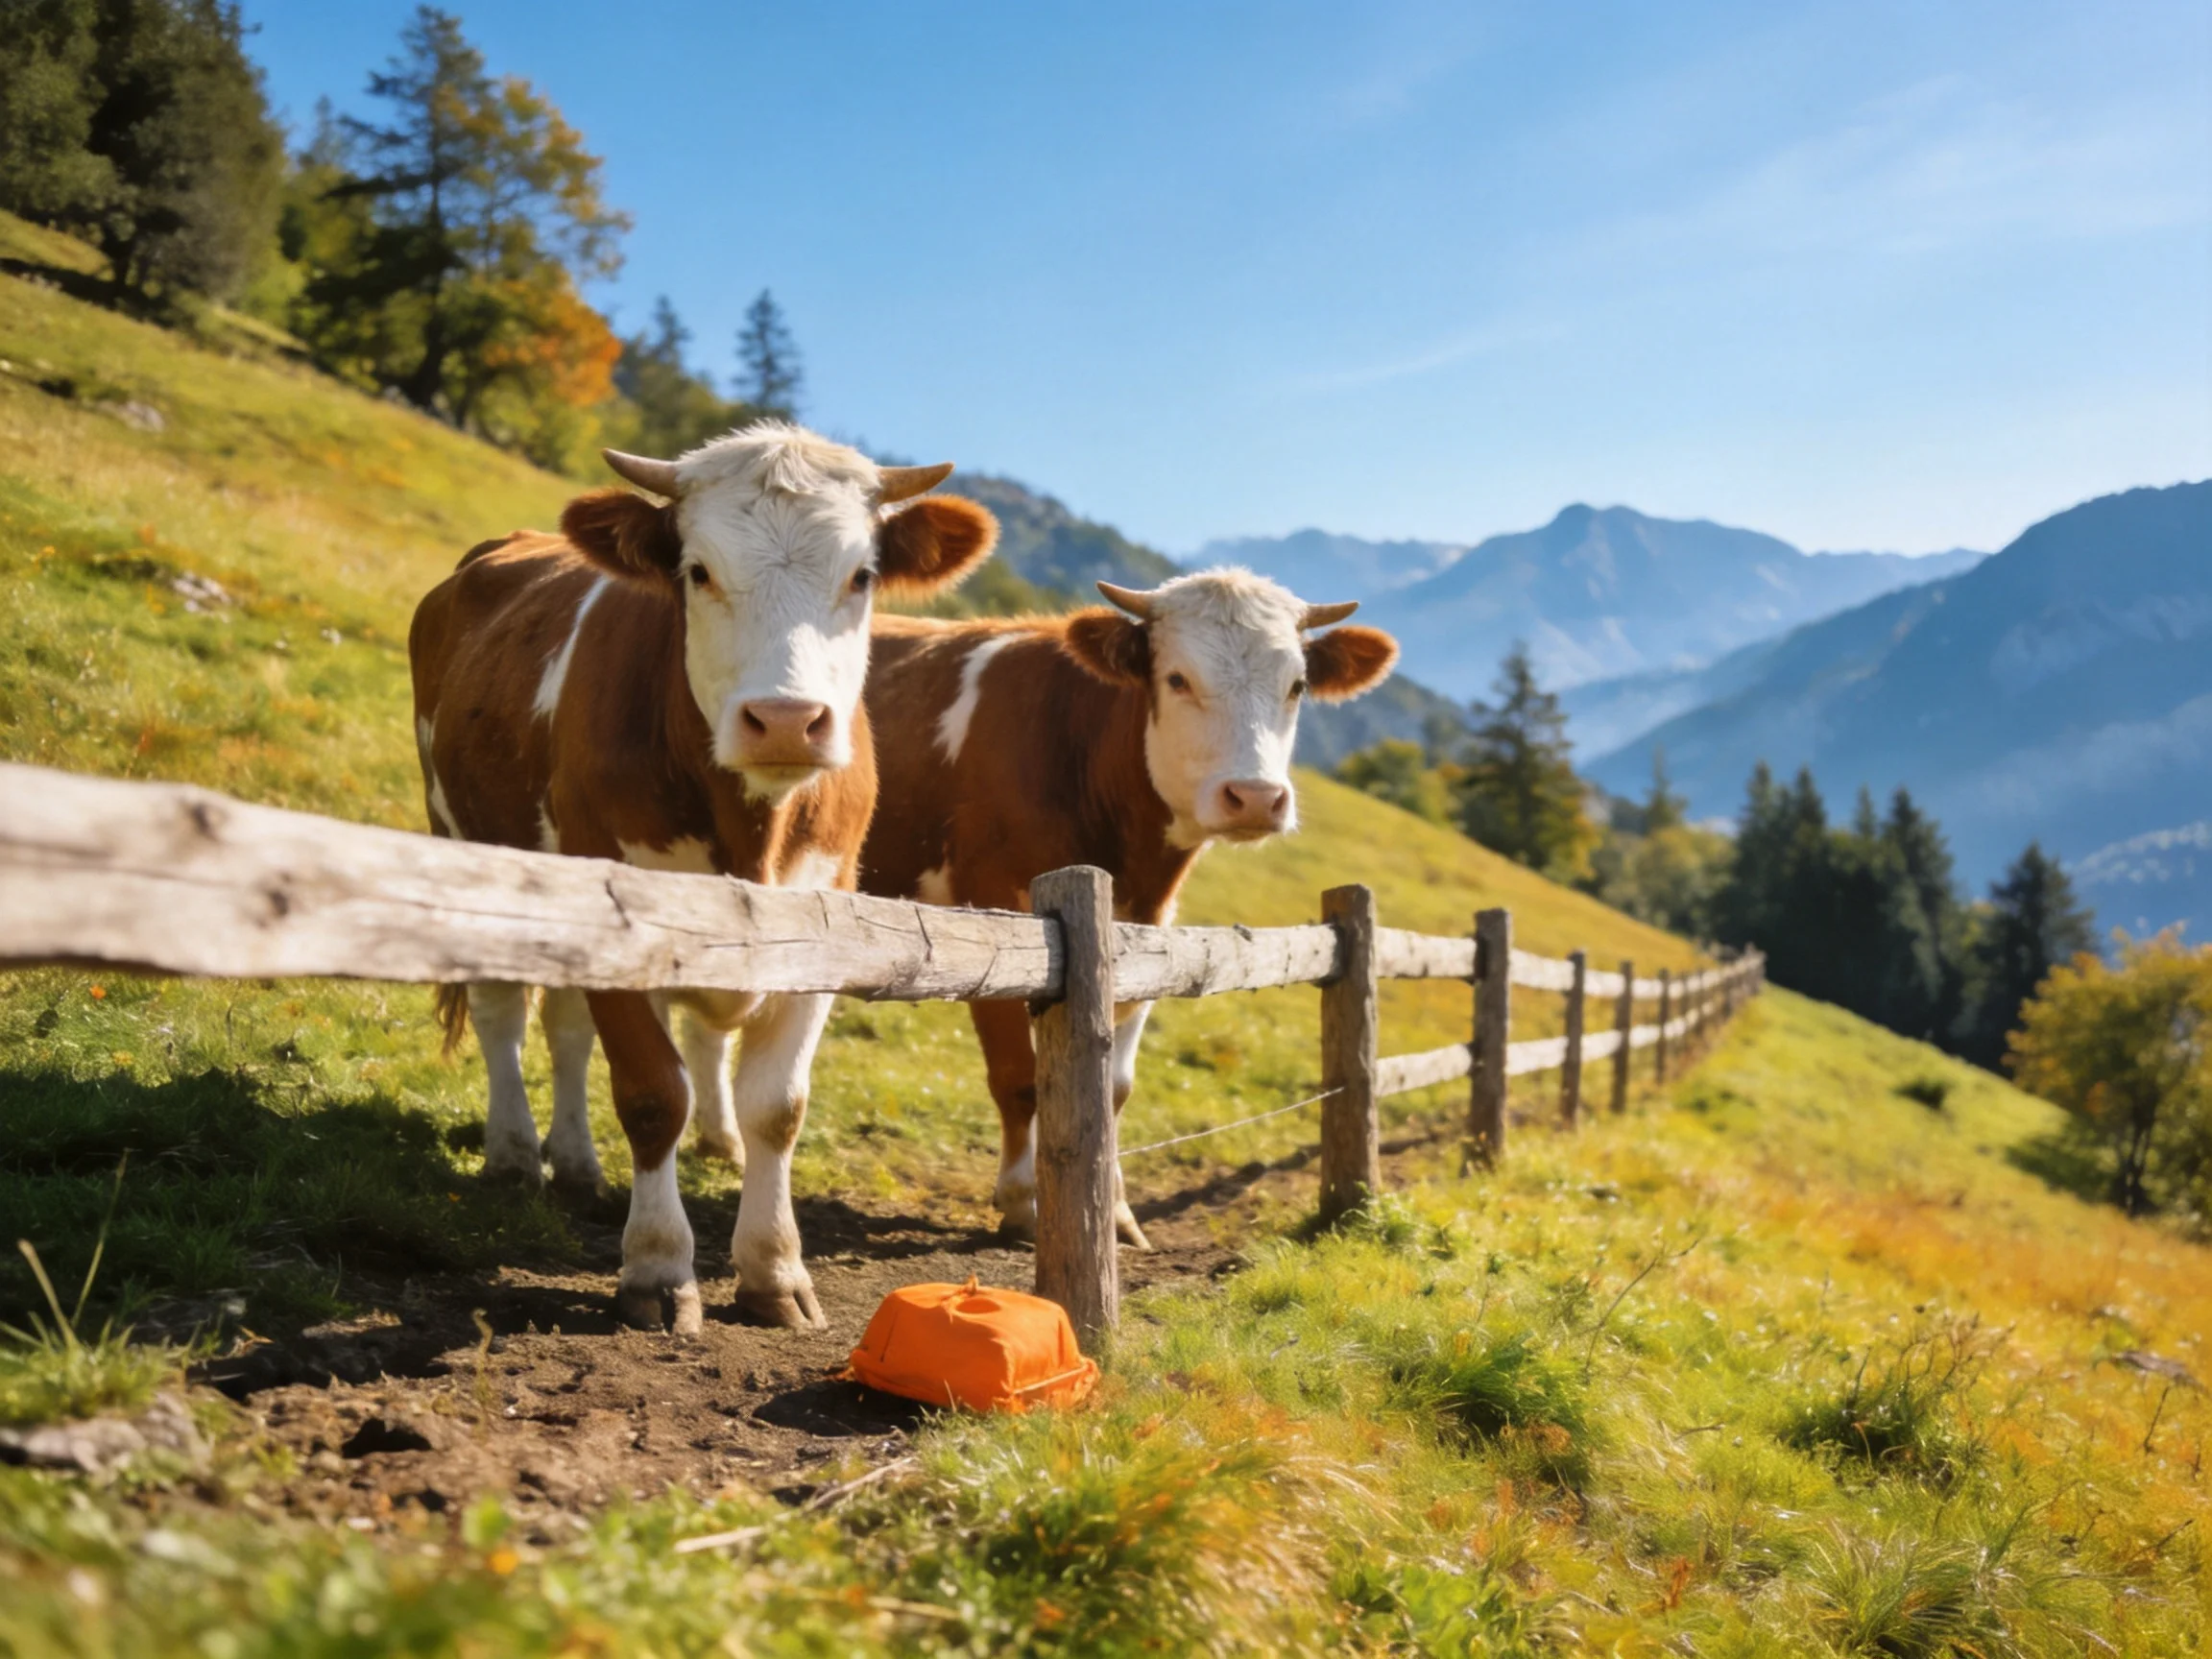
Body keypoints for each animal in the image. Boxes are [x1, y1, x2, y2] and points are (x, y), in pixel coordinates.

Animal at [409, 424, 996, 1333]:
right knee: (504, 1011)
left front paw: (774, 1271)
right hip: (468, 841)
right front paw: (656, 1268)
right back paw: (514, 1156)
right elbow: (654, 1094)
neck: (753, 828)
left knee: (568, 1027)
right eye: (698, 571)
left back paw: (575, 1163)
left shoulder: (825, 929)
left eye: (861, 575)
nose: (786, 720)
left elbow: (776, 1109)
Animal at [857, 572, 1398, 1243]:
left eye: (1296, 685)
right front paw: (1023, 1201)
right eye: (1177, 678)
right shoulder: (989, 917)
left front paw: (1114, 1211)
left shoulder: (1145, 930)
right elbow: (1018, 1079)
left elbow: (1112, 1089)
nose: (1255, 797)